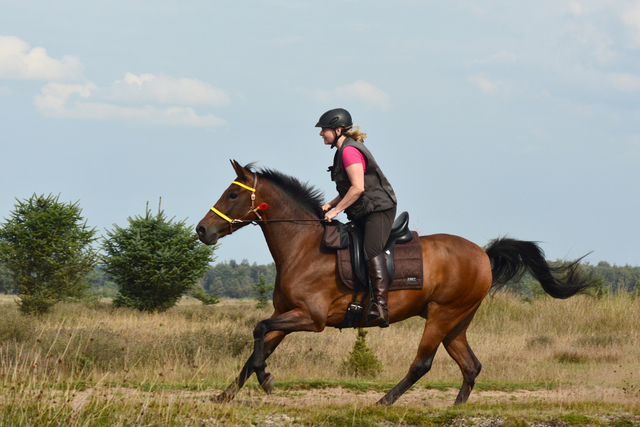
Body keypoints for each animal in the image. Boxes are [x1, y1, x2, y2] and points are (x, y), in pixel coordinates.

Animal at [194, 160, 592, 404]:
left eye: (232, 194)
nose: (202, 230)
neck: (302, 246)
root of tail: (482, 253)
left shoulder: (312, 318)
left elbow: (259, 330)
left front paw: (266, 380)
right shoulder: (288, 314)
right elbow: (256, 348)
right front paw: (227, 395)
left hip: (442, 315)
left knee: (422, 364)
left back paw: (384, 401)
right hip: (457, 322)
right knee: (470, 365)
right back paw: (456, 409)